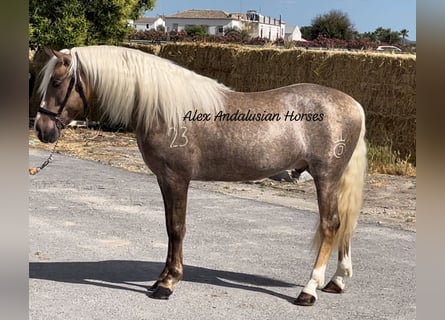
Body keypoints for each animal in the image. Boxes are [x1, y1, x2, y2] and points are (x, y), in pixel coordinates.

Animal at [34, 45, 366, 308]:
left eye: (57, 81)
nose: (42, 129)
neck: (164, 109)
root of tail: (355, 105)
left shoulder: (177, 179)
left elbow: (177, 228)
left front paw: (168, 284)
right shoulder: (164, 180)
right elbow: (169, 228)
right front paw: (161, 279)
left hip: (326, 176)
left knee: (330, 225)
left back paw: (309, 290)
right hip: (334, 180)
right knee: (344, 224)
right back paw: (337, 281)